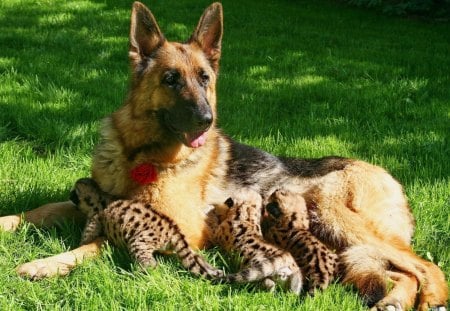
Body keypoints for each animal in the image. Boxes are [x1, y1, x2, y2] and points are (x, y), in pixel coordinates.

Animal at [0, 2, 446, 311]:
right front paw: (8, 223)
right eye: (170, 79)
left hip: (336, 215)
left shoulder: (176, 226)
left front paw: (46, 264)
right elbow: (40, 210)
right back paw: (395, 299)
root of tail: (390, 176)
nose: (206, 120)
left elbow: (100, 243)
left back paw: (428, 299)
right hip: (341, 238)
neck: (139, 153)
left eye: (205, 79)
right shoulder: (93, 200)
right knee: (399, 269)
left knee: (427, 266)